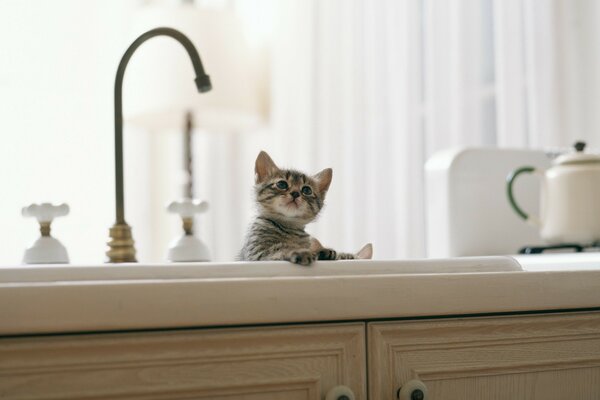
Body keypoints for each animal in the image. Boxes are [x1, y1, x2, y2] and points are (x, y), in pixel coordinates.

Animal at [238, 152, 370, 268]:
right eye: (282, 184)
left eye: (306, 190)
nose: (295, 193)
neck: (289, 227)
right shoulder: (257, 251)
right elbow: (280, 249)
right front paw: (299, 251)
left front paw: (322, 251)